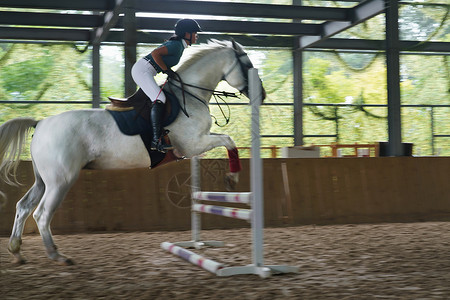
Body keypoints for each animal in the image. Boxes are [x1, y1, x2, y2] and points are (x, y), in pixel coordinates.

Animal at [0, 39, 264, 264]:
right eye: (248, 65)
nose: (262, 96)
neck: (189, 96)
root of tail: (41, 123)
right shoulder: (193, 144)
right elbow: (229, 140)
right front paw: (232, 178)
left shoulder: (196, 145)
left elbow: (226, 141)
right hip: (60, 181)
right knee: (42, 214)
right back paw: (57, 255)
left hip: (43, 180)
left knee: (23, 207)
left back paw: (17, 251)